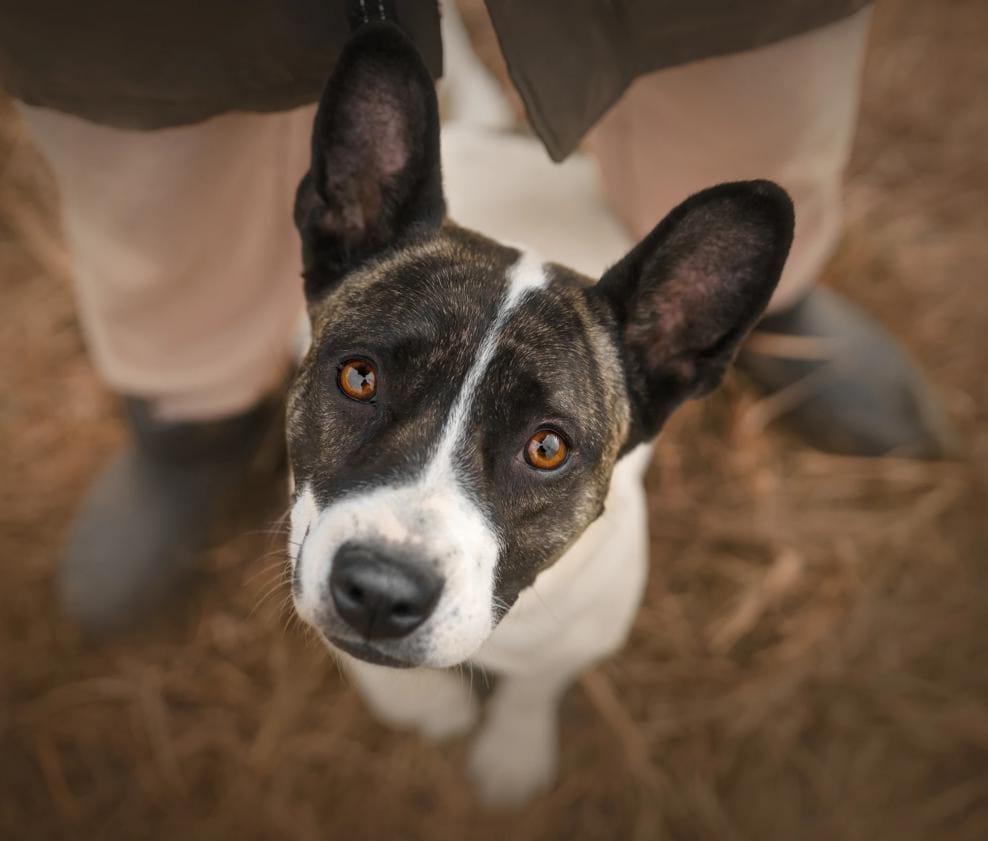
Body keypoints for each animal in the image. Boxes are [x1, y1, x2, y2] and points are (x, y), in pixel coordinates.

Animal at [286, 21, 796, 808]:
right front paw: (418, 703)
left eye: (547, 448)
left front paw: (513, 753)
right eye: (358, 377)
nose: (378, 593)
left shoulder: (583, 633)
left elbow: (538, 686)